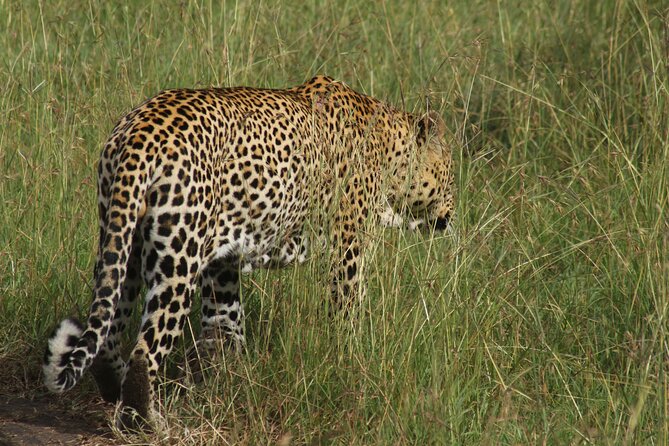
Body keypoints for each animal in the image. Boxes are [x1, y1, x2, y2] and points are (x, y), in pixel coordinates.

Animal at [42, 75, 455, 429]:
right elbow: (347, 309)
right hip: (178, 260)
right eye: (451, 177)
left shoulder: (222, 261)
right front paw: (352, 359)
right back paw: (146, 422)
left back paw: (116, 394)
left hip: (123, 239)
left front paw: (227, 385)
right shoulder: (348, 246)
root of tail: (138, 130)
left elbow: (224, 328)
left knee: (108, 329)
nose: (452, 215)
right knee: (146, 348)